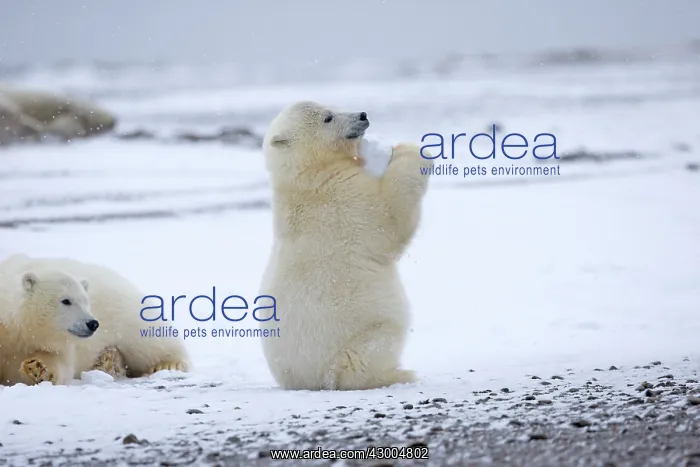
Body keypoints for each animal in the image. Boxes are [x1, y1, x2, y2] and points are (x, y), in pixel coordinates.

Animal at [0, 254, 190, 386]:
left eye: (86, 301)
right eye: (66, 300)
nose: (92, 323)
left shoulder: (60, 345)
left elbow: (61, 366)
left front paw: (37, 368)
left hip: (125, 312)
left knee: (148, 340)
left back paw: (168, 365)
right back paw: (107, 361)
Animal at [257, 101, 433, 391]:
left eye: (330, 107)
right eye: (328, 118)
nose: (362, 115)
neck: (307, 177)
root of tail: (308, 382)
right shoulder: (341, 199)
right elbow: (388, 218)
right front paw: (411, 150)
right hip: (358, 336)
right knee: (370, 354)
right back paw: (401, 374)